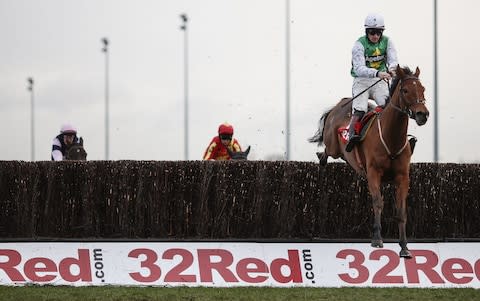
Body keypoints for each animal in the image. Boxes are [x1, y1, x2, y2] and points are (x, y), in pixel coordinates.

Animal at [310, 66, 430, 258]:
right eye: (405, 90)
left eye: (423, 89)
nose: (422, 114)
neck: (391, 138)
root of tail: (340, 103)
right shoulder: (374, 173)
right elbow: (378, 202)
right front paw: (377, 239)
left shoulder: (403, 177)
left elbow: (401, 211)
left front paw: (404, 247)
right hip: (334, 147)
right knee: (327, 151)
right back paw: (321, 158)